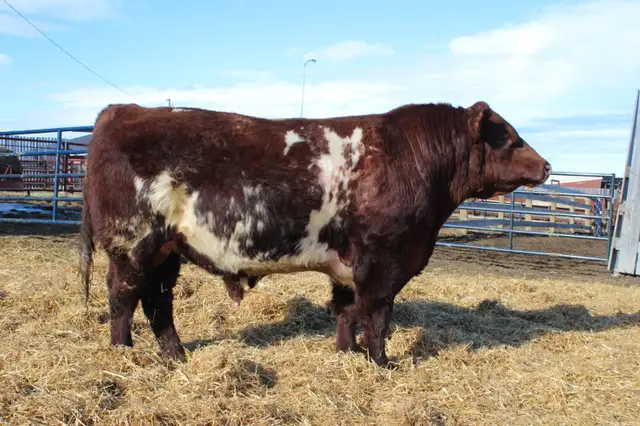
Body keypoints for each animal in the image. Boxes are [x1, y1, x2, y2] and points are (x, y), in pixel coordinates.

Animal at [79, 100, 551, 367]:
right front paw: (382, 362)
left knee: (157, 301)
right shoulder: (383, 260)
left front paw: (347, 354)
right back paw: (123, 353)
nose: (546, 165)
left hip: (167, 250)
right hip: (133, 244)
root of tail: (121, 110)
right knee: (123, 297)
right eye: (510, 139)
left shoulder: (349, 265)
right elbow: (376, 315)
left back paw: (177, 355)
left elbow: (346, 311)